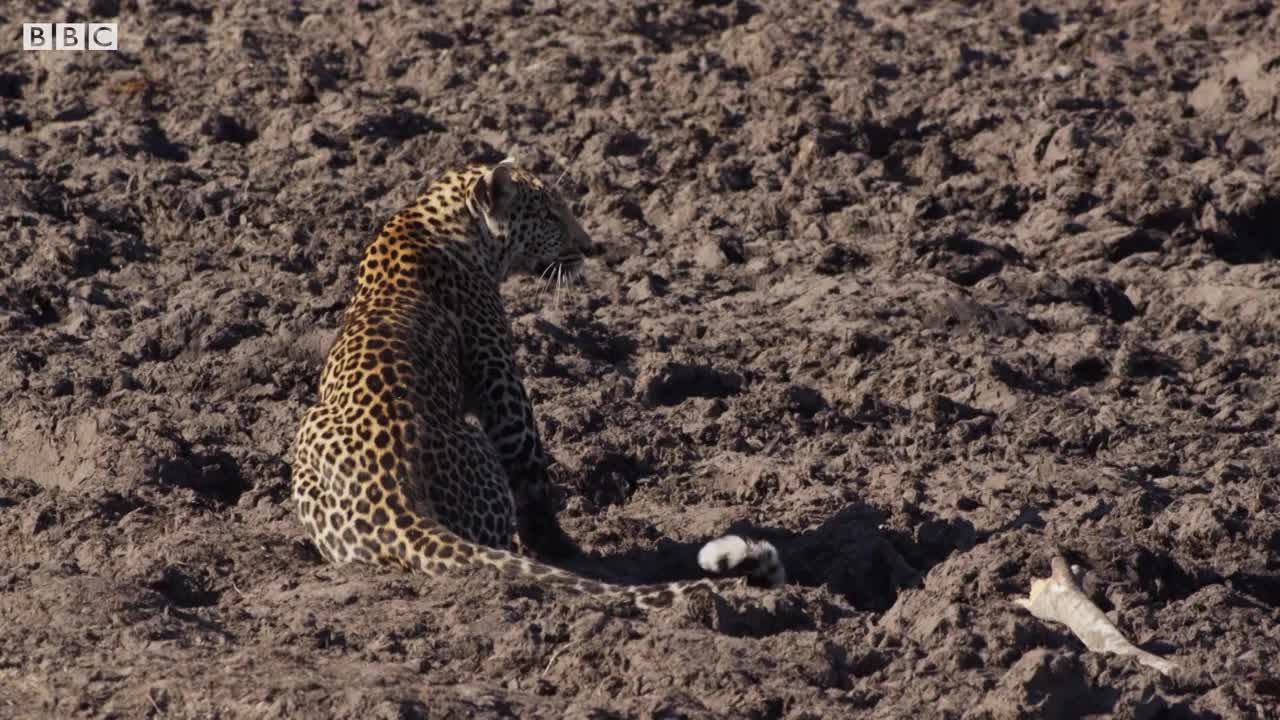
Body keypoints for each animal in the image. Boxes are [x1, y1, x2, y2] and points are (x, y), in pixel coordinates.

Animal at [293, 156, 783, 604]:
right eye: (550, 216)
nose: (589, 247)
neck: (442, 222)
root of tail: (398, 504)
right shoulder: (499, 379)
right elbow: (529, 464)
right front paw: (559, 548)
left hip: (306, 430)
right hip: (469, 443)